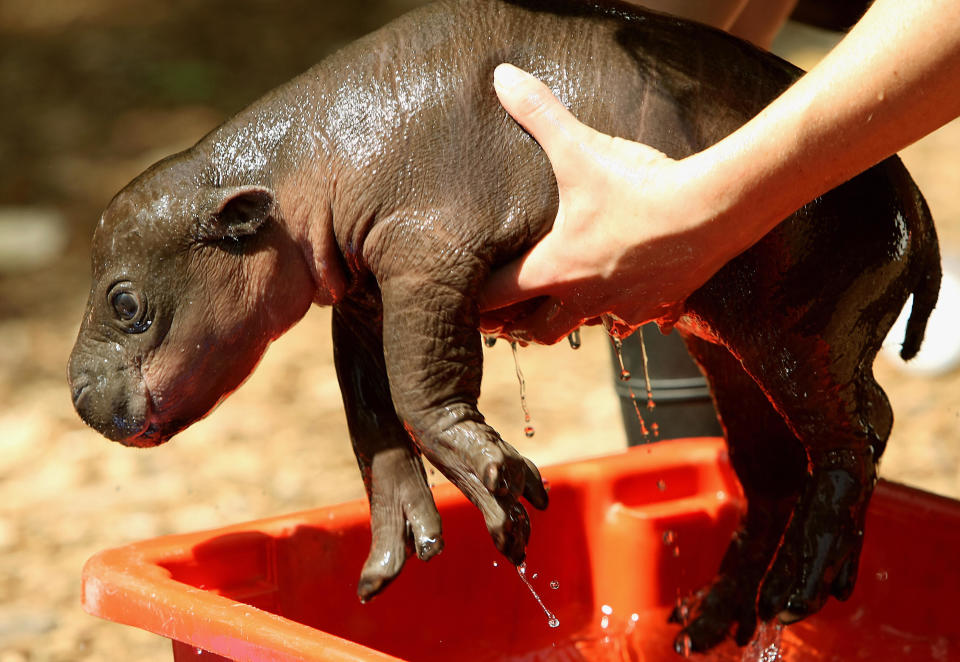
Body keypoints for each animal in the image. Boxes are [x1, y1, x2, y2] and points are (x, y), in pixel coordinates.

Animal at [67, 0, 936, 652]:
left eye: (125, 302)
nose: (75, 395)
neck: (298, 164)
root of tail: (915, 194)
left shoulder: (428, 256)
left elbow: (421, 390)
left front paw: (501, 493)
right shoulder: (368, 292)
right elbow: (372, 411)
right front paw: (400, 547)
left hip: (796, 334)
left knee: (851, 437)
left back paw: (800, 585)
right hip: (729, 344)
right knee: (784, 464)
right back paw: (718, 618)